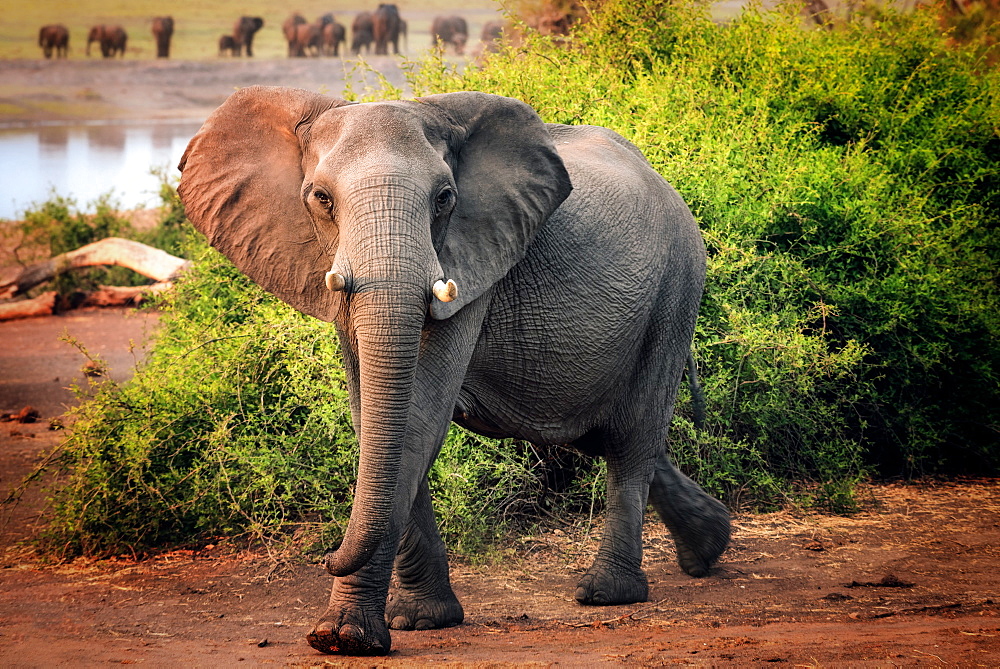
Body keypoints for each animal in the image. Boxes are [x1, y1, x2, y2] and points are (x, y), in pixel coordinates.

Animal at [176, 86, 732, 656]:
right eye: (321, 199)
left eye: (444, 198)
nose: (326, 556)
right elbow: (374, 419)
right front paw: (422, 620)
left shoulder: (471, 265)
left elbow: (417, 420)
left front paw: (343, 638)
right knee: (603, 434)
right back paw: (708, 548)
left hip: (676, 289)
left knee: (632, 438)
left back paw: (608, 592)